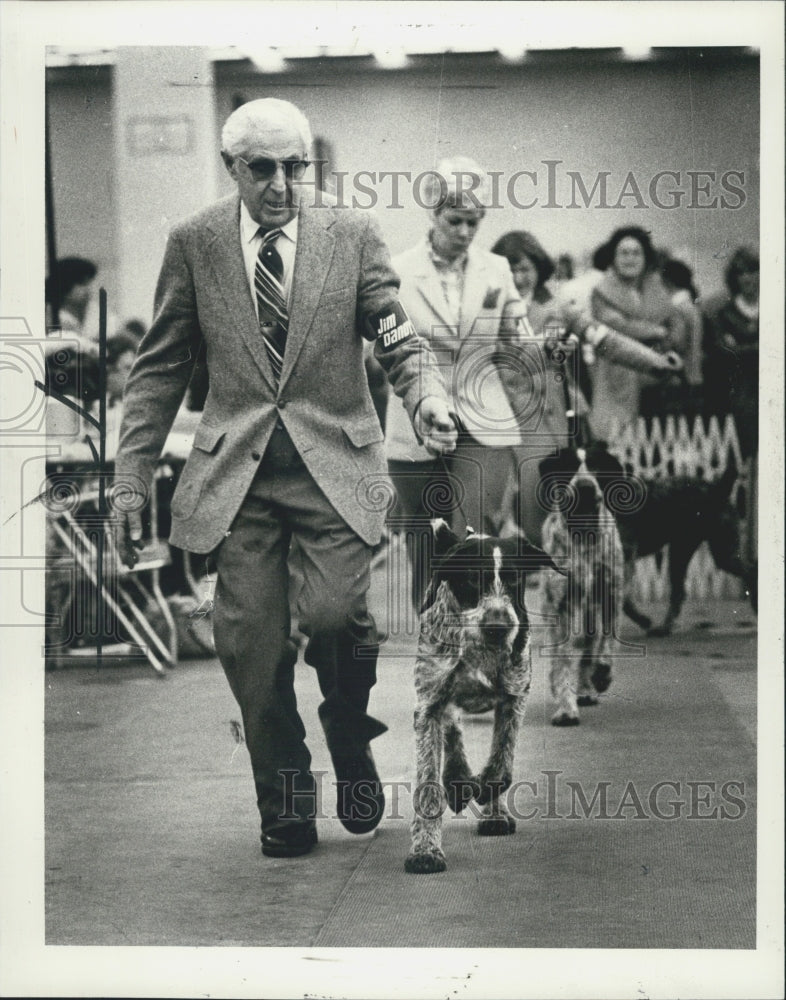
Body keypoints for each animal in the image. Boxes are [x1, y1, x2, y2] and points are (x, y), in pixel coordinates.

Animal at [404, 520, 556, 872]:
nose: (498, 626)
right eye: (473, 577)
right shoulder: (429, 704)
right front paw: (426, 850)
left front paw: (489, 791)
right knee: (453, 728)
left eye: (513, 578)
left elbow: (502, 758)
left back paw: (493, 810)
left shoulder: (515, 696)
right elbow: (428, 782)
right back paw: (458, 778)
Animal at [536, 448, 620, 728]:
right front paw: (566, 708)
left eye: (596, 465)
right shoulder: (560, 604)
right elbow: (561, 661)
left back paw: (587, 686)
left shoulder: (611, 594)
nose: (584, 486)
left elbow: (606, 642)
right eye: (569, 465)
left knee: (590, 644)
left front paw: (602, 673)